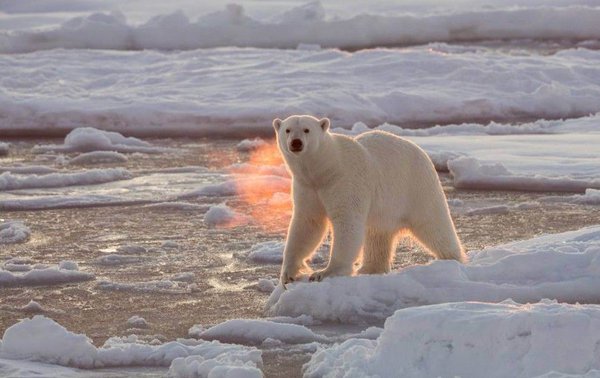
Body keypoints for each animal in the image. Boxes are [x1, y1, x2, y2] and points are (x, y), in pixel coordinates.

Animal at [274, 114, 466, 284]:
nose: (296, 143)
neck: (325, 170)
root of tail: (421, 152)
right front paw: (288, 274)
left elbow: (347, 221)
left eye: (307, 130)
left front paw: (324, 272)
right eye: (287, 130)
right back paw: (370, 268)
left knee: (434, 224)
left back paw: (452, 259)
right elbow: (308, 223)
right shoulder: (307, 187)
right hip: (386, 209)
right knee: (377, 235)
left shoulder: (345, 181)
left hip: (416, 187)